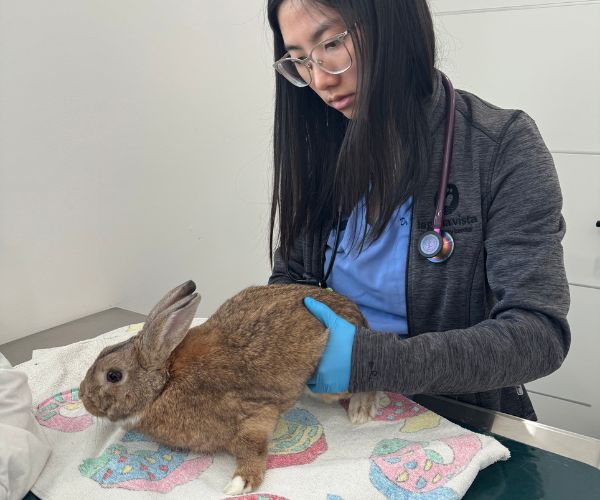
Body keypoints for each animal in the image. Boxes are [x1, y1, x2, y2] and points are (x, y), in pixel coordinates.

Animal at [79, 280, 376, 494]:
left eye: (113, 375)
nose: (83, 397)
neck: (164, 383)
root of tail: (359, 318)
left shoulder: (253, 415)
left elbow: (252, 448)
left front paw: (239, 483)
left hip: (329, 379)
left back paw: (362, 410)